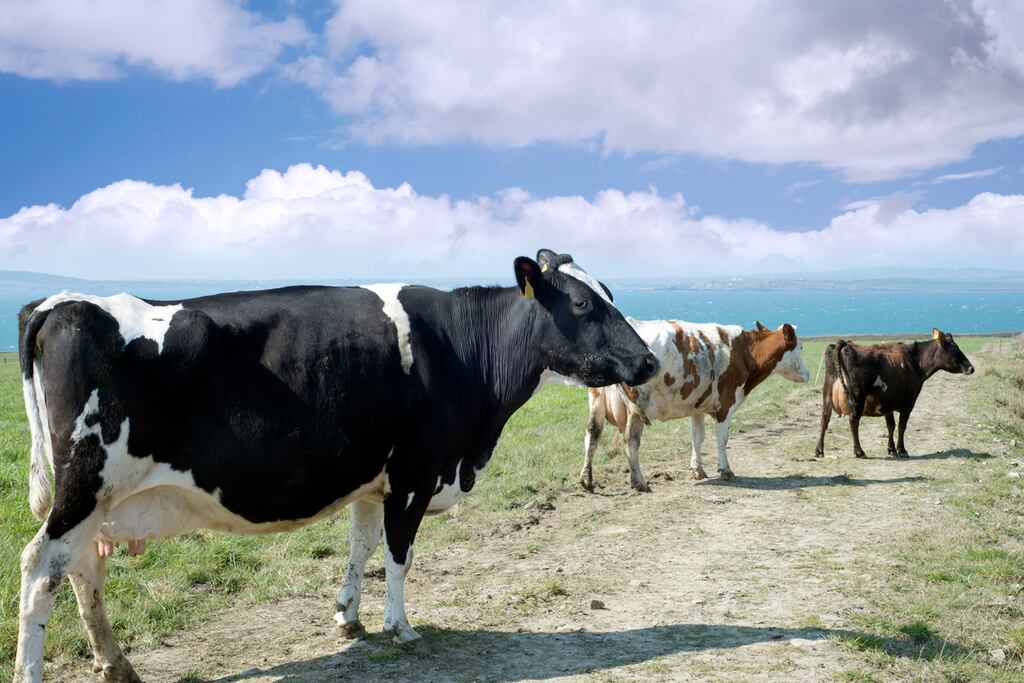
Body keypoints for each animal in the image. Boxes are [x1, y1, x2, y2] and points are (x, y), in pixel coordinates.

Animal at [12, 249, 659, 683]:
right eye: (583, 303)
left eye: (610, 292)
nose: (650, 360)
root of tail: (59, 303)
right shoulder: (415, 473)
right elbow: (399, 555)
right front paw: (401, 629)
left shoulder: (374, 480)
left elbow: (361, 545)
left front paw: (349, 617)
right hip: (85, 484)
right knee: (41, 568)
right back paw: (35, 670)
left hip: (97, 499)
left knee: (83, 570)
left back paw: (116, 663)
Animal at [580, 320, 809, 492]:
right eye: (800, 347)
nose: (807, 374)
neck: (743, 352)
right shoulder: (727, 403)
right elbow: (722, 438)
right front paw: (725, 470)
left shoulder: (696, 405)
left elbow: (697, 437)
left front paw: (697, 470)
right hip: (638, 404)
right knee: (631, 439)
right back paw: (639, 482)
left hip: (596, 398)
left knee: (593, 433)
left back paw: (587, 480)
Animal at [814, 328, 974, 459]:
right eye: (955, 349)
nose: (971, 368)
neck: (915, 361)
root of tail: (844, 344)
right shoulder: (909, 402)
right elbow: (902, 425)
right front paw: (901, 450)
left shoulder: (887, 402)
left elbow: (890, 425)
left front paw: (891, 449)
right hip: (857, 397)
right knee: (853, 421)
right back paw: (859, 452)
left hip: (827, 394)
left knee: (824, 419)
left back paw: (819, 450)